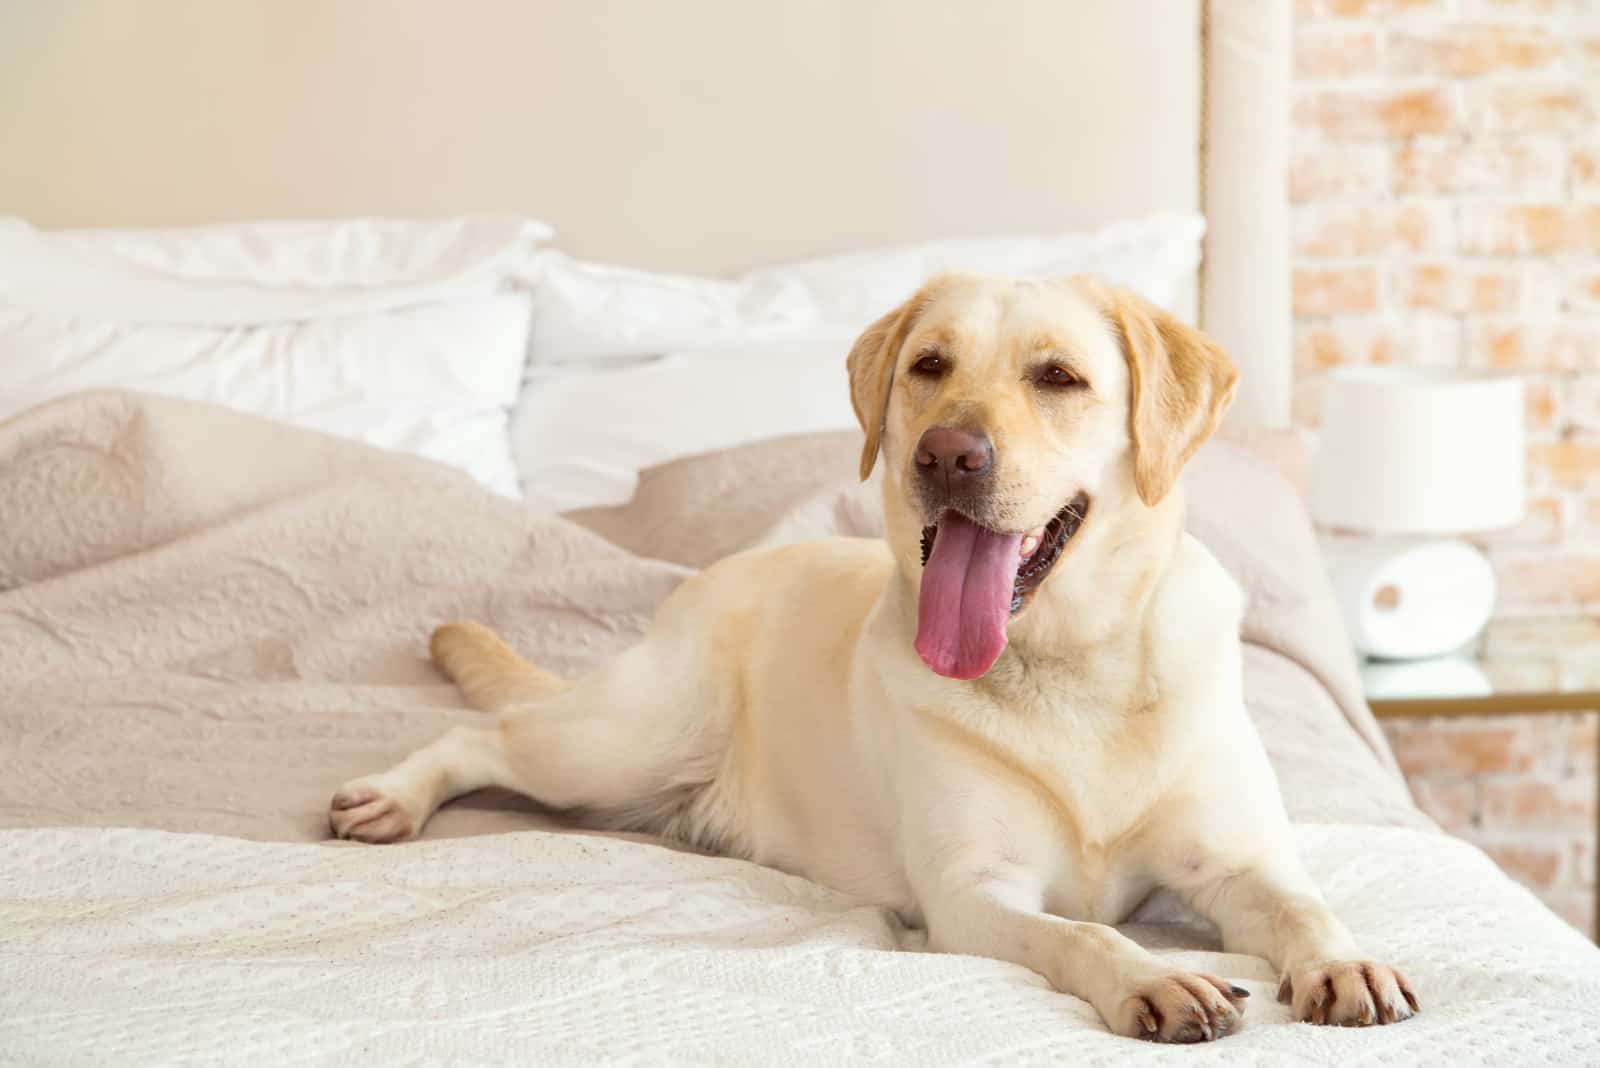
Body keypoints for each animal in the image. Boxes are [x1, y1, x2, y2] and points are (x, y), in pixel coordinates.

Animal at [331, 271, 1420, 1036]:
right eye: (929, 365)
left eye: (1058, 377)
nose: (947, 455)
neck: (1073, 670)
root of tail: (710, 578)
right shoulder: (973, 895)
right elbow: (1084, 929)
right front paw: (1152, 975)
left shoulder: (1237, 864)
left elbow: (1303, 904)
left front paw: (1344, 959)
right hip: (619, 744)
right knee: (488, 734)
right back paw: (392, 795)